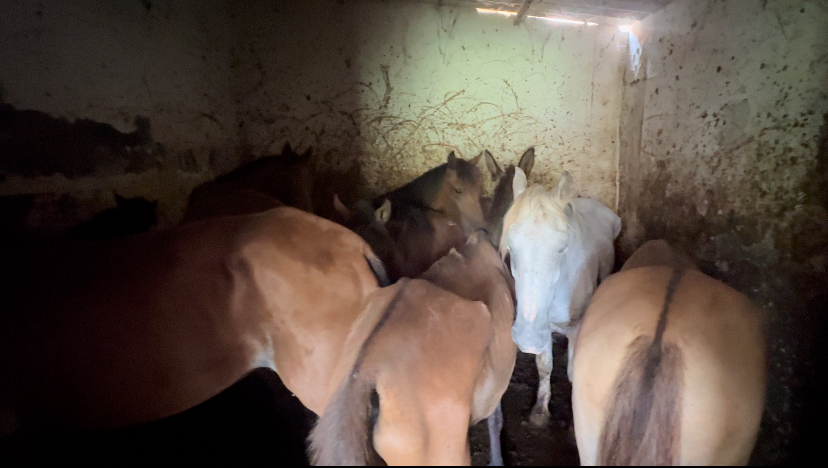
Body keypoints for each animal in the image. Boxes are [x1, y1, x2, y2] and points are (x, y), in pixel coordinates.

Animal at [500, 169, 621, 426]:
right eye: (511, 247)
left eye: (562, 247)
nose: (527, 338)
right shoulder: (543, 327)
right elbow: (544, 367)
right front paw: (540, 411)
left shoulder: (576, 327)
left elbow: (573, 372)